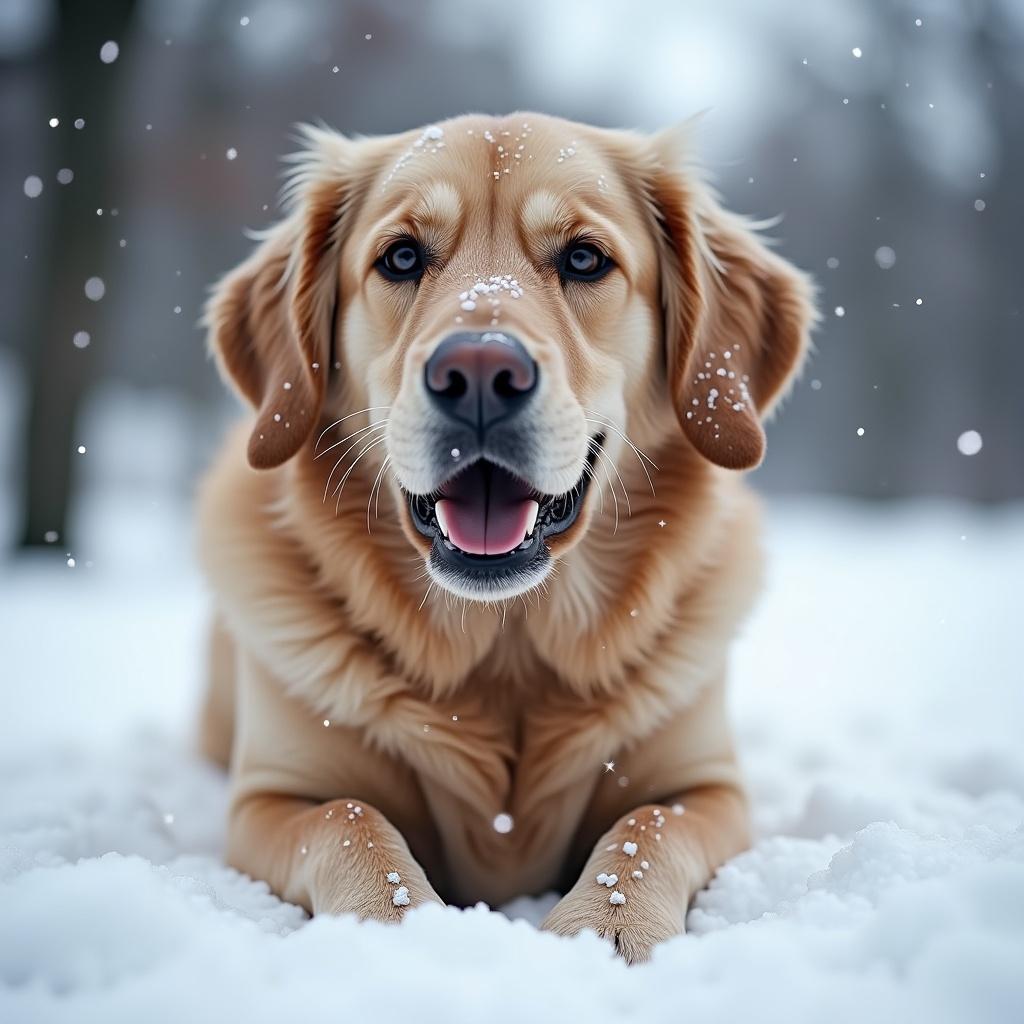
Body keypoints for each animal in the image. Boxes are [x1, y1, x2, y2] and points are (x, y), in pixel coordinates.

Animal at [197, 112, 815, 958]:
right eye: (400, 257)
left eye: (585, 258)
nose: (480, 374)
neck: (507, 647)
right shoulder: (269, 798)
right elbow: (351, 819)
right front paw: (401, 927)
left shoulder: (709, 787)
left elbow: (648, 825)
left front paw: (607, 926)